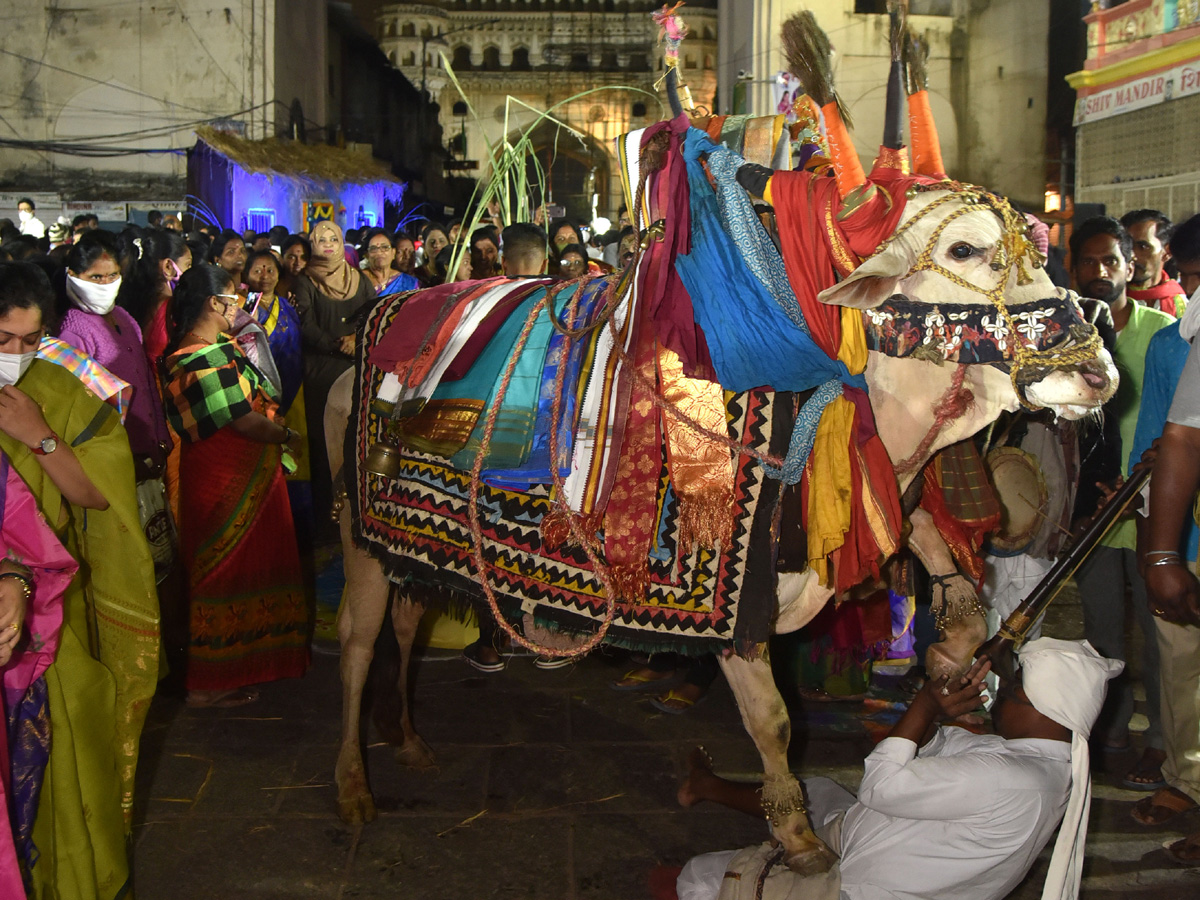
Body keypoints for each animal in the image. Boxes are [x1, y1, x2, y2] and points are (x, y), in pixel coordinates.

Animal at [321, 10, 1113, 878]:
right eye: (964, 249)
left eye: (1037, 246)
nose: (1097, 370)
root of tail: (362, 345)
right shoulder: (736, 603)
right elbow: (773, 721)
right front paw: (799, 838)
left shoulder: (887, 502)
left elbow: (963, 594)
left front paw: (949, 673)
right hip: (358, 537)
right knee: (357, 643)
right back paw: (353, 784)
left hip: (405, 547)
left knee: (405, 623)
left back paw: (409, 738)